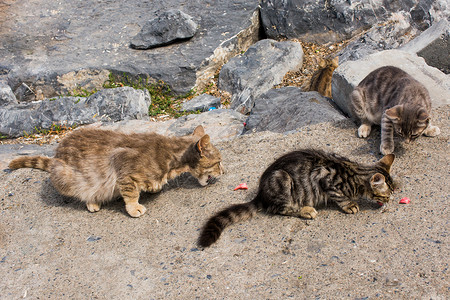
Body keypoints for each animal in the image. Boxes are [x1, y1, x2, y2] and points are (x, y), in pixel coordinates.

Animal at [8, 125, 223, 217]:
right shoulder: (124, 168)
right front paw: (134, 208)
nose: (224, 171)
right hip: (66, 178)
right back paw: (92, 202)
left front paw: (154, 188)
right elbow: (131, 194)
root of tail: (55, 158)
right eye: (219, 161)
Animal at [199, 149, 396, 247]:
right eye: (388, 194)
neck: (355, 173)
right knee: (280, 208)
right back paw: (306, 211)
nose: (391, 201)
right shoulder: (326, 180)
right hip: (282, 180)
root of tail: (261, 194)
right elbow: (339, 196)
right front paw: (350, 205)